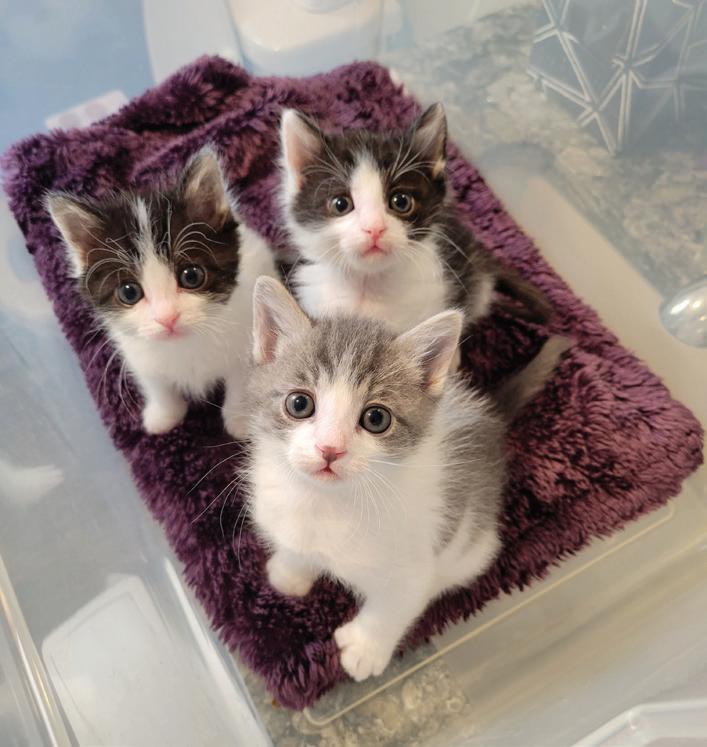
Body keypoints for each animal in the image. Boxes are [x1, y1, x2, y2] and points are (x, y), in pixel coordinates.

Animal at [47, 147, 278, 438]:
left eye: (191, 276)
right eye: (129, 293)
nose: (167, 318)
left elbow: (240, 379)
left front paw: (238, 419)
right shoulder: (136, 351)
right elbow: (156, 383)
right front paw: (164, 415)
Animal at [246, 276, 569, 682]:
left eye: (376, 418)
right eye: (299, 403)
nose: (330, 449)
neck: (327, 503)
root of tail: (489, 415)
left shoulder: (414, 561)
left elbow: (396, 605)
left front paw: (365, 649)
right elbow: (295, 547)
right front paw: (289, 574)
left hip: (473, 542)